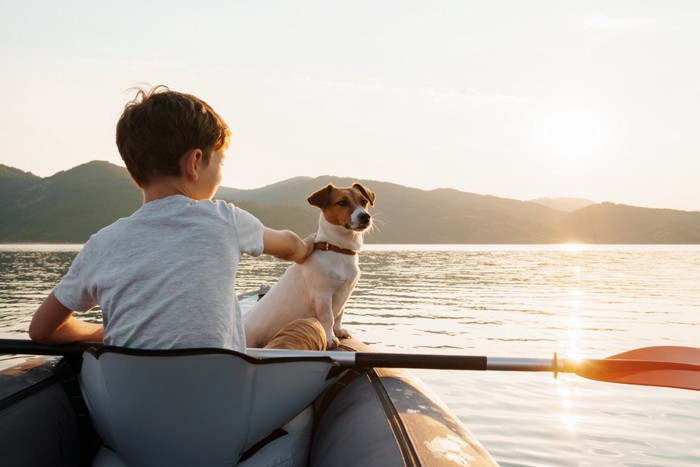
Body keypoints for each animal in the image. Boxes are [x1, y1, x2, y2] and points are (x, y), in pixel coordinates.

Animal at [246, 185, 378, 350]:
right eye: (342, 202)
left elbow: (339, 316)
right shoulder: (323, 295)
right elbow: (328, 318)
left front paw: (338, 331)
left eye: (364, 201)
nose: (365, 216)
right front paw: (330, 337)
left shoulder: (346, 292)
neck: (338, 249)